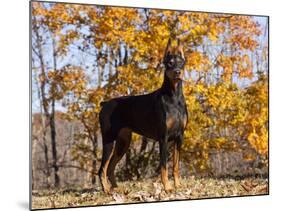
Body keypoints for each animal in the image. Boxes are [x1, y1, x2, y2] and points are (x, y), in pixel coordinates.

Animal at [97, 42, 187, 193]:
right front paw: (167, 187)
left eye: (181, 62)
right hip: (108, 140)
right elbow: (164, 166)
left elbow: (176, 165)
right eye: (169, 63)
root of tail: (105, 104)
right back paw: (107, 190)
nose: (177, 72)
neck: (175, 97)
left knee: (110, 167)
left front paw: (178, 185)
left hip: (123, 142)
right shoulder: (163, 138)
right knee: (102, 168)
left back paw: (117, 189)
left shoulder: (179, 137)